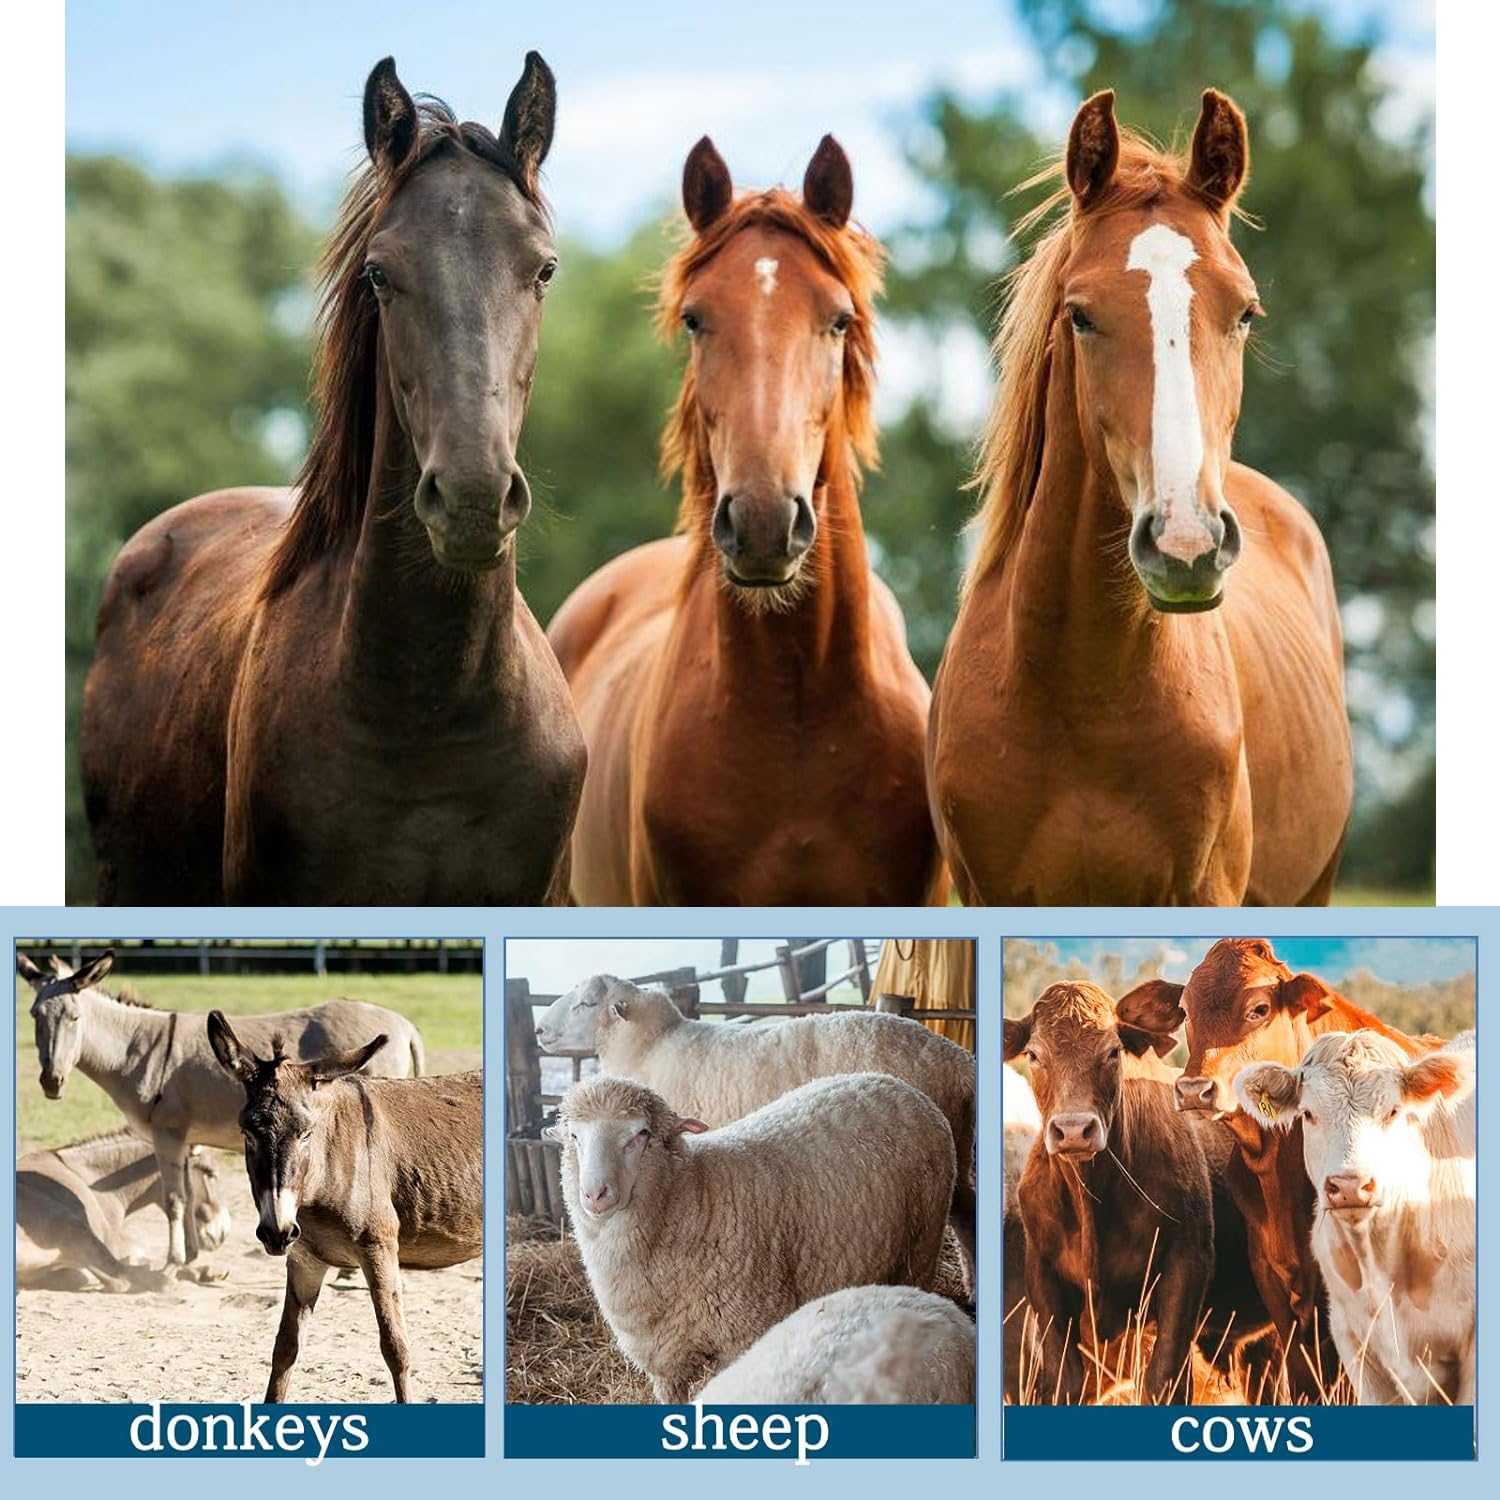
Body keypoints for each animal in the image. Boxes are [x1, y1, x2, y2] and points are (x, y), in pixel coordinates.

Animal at [17, 1130, 229, 1292]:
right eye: (210, 1172)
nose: (222, 1233)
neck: (90, 1178)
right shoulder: (111, 1243)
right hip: (72, 1226)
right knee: (121, 1279)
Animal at [18, 949, 421, 1266]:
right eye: (35, 1015)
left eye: (74, 1018)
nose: (51, 1082)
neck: (136, 1047)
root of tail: (406, 1025)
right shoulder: (184, 1139)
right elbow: (188, 1192)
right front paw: (191, 1256)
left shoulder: (166, 1133)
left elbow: (174, 1199)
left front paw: (173, 1262)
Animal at [207, 1012, 483, 1403]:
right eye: (248, 1134)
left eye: (306, 1133)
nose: (277, 1232)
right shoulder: (305, 1259)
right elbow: (285, 1348)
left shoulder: (379, 1248)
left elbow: (395, 1348)